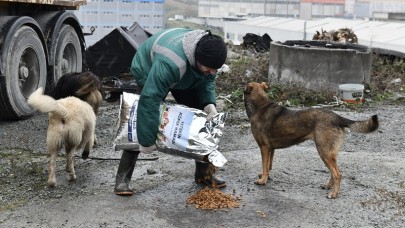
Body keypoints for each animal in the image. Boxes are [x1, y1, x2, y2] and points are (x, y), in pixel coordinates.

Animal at [243, 82, 378, 198]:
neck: (261, 106)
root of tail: (337, 117)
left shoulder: (264, 148)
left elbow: (265, 165)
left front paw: (262, 180)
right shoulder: (271, 149)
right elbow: (268, 166)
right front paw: (265, 176)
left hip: (323, 152)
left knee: (337, 174)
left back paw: (334, 194)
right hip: (330, 153)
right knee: (335, 172)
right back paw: (329, 186)